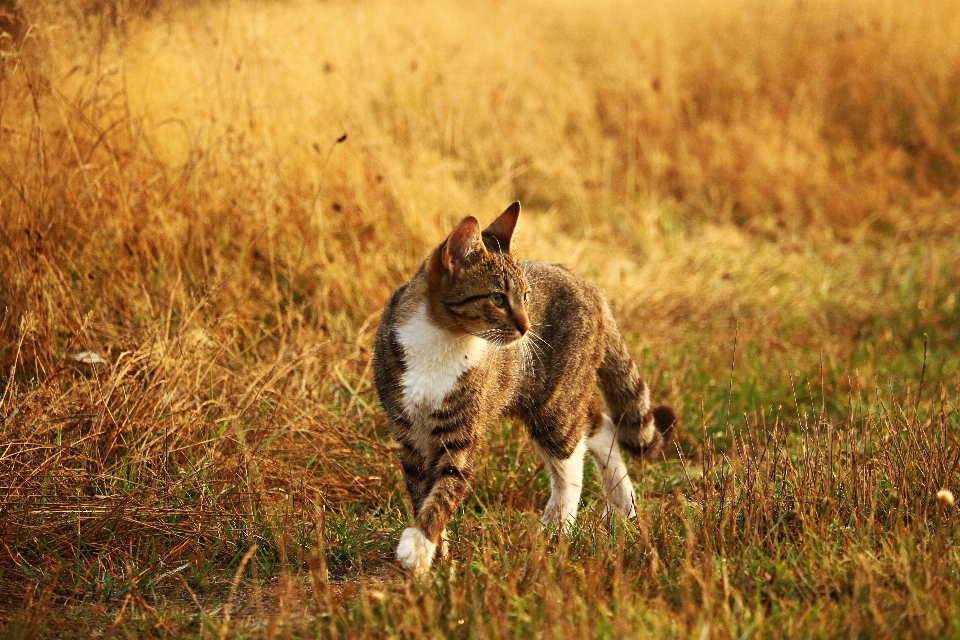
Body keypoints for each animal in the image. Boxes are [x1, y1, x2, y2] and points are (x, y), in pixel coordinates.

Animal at [370, 202, 676, 572]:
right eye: (498, 298)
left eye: (526, 296)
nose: (527, 327)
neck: (442, 340)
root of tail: (591, 288)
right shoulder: (410, 435)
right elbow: (421, 492)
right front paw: (436, 555)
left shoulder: (460, 434)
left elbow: (444, 491)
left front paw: (418, 546)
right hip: (555, 395)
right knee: (599, 425)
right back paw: (622, 506)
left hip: (554, 400)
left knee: (571, 459)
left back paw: (557, 527)